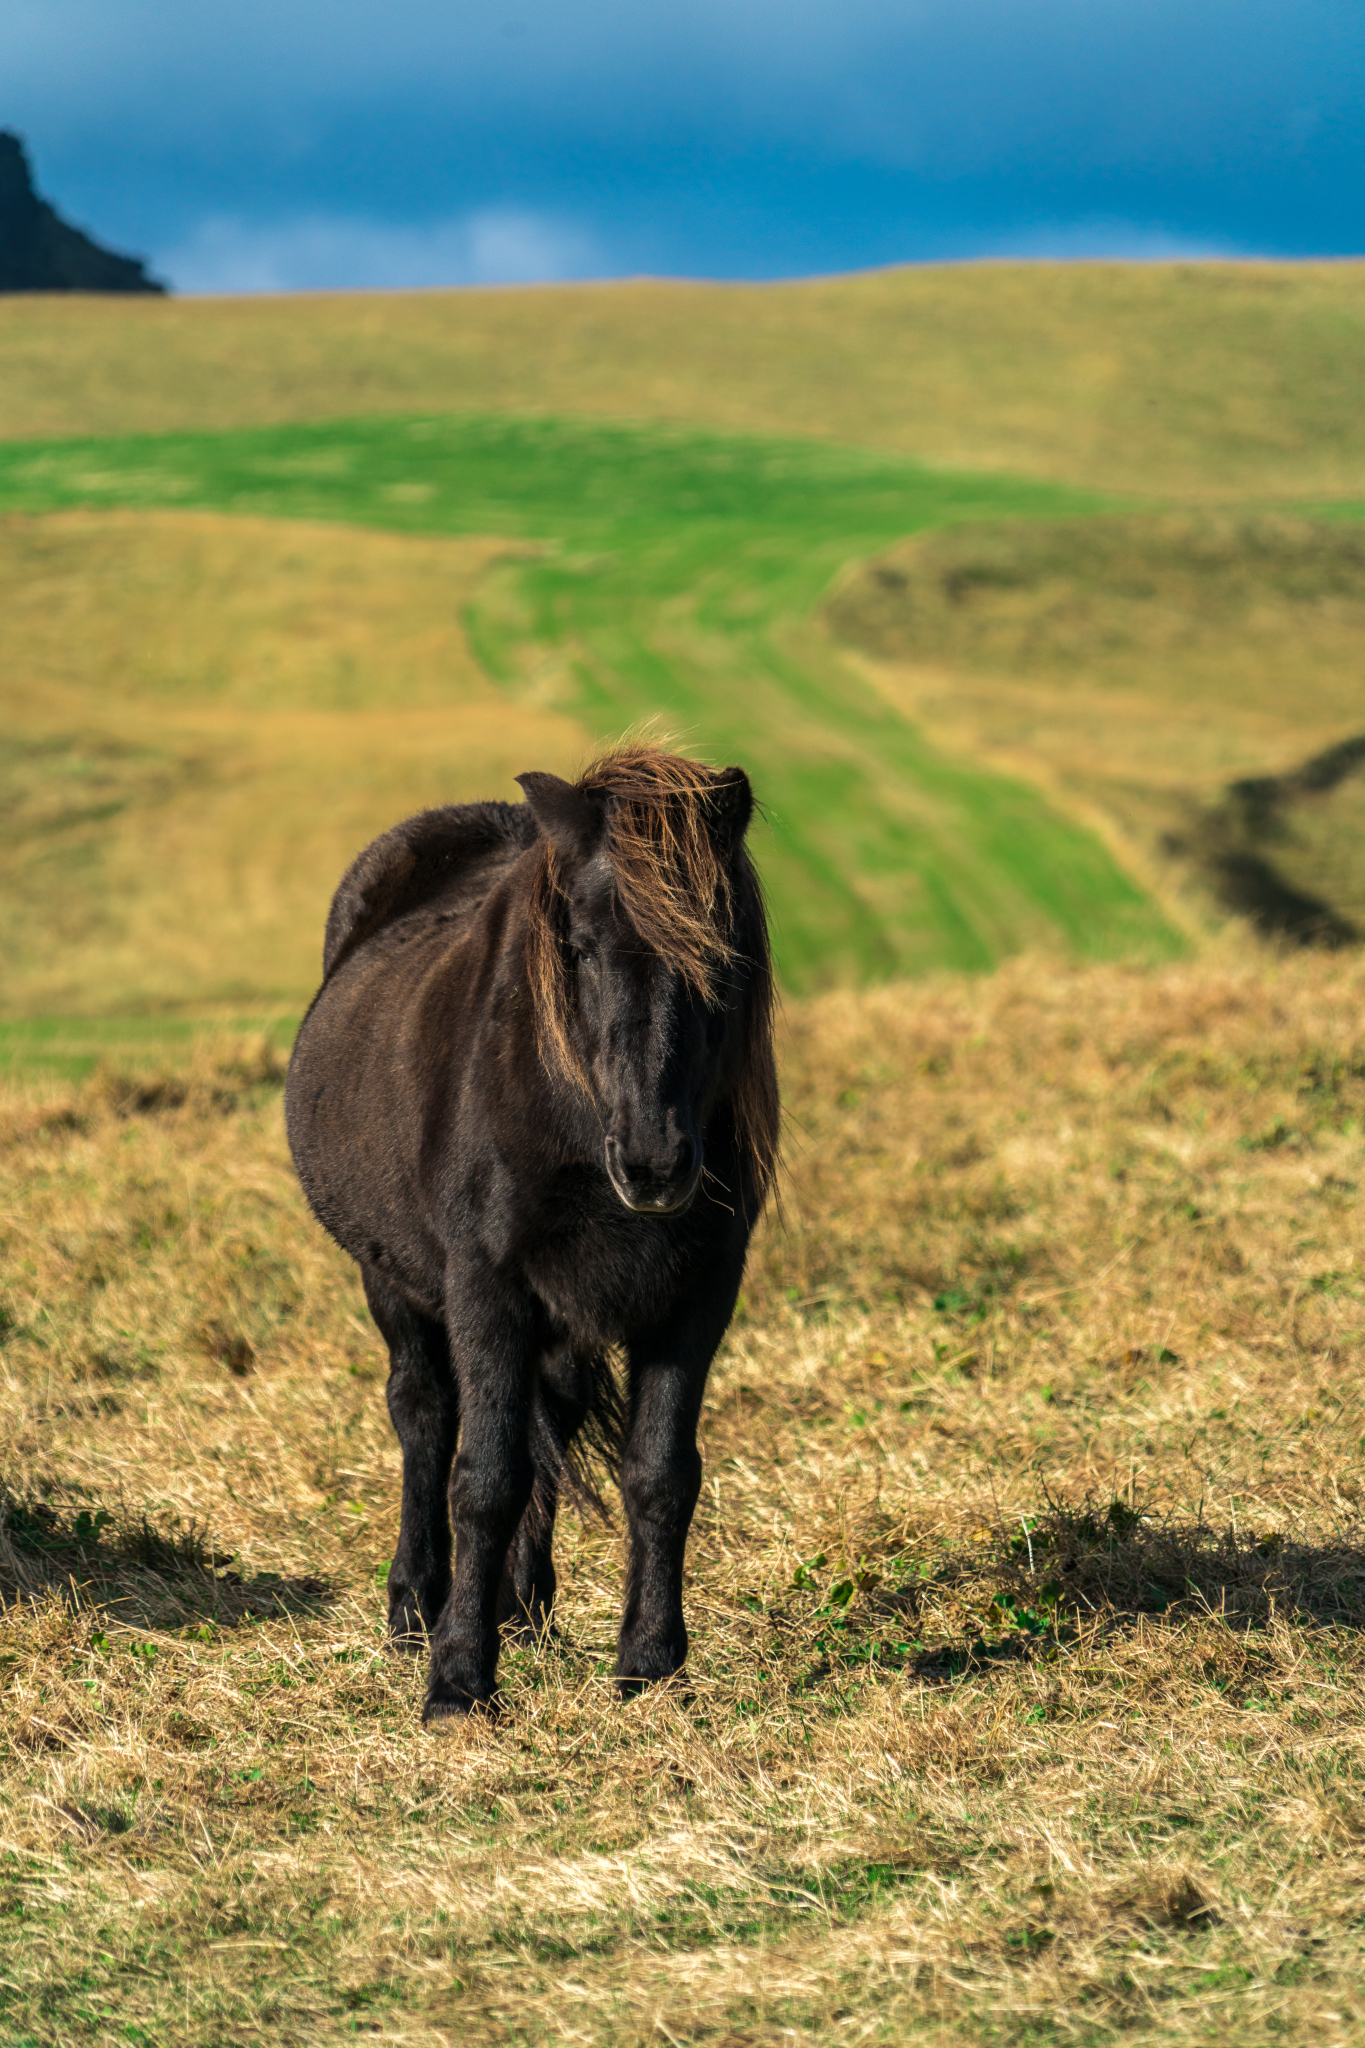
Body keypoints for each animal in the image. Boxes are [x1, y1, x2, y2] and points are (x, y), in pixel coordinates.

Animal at [288, 745, 777, 1720]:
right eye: (579, 949)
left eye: (719, 953)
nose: (654, 1164)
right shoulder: (486, 1286)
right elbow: (485, 1476)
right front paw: (458, 1680)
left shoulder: (699, 1292)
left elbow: (659, 1472)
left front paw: (649, 1664)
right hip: (393, 1283)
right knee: (423, 1415)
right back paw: (415, 1610)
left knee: (546, 1422)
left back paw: (524, 1609)